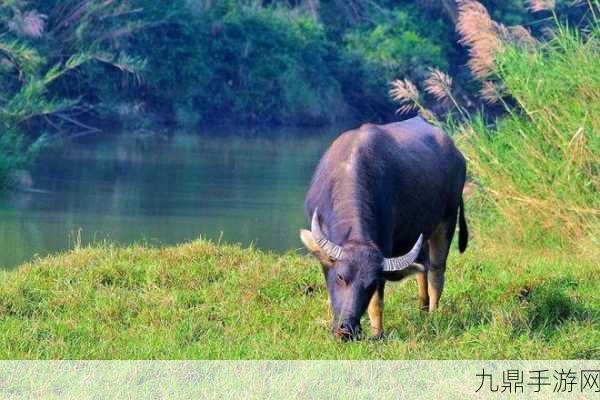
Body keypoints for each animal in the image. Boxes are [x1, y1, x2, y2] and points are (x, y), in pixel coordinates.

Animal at [300, 116, 468, 340]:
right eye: (341, 277)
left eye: (370, 285)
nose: (346, 330)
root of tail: (457, 154)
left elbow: (377, 303)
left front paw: (377, 333)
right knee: (422, 265)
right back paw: (422, 308)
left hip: (447, 219)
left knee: (436, 270)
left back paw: (433, 313)